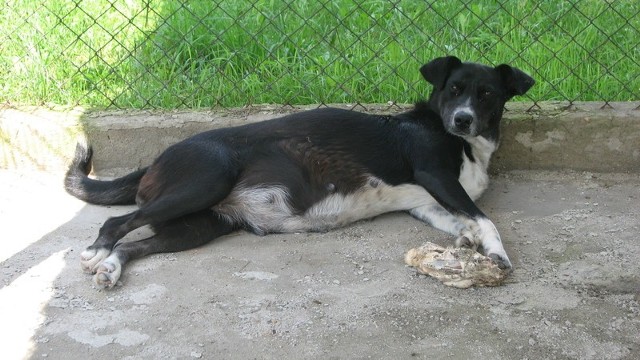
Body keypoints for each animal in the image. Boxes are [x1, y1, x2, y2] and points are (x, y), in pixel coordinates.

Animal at [65, 54, 536, 288]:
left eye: (487, 94)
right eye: (453, 90)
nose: (462, 119)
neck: (462, 140)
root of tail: (157, 159)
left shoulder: (424, 201)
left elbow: (459, 220)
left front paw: (466, 241)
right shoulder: (436, 176)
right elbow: (484, 218)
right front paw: (497, 255)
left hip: (199, 226)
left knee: (136, 244)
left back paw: (111, 268)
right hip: (206, 179)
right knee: (118, 222)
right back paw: (97, 253)